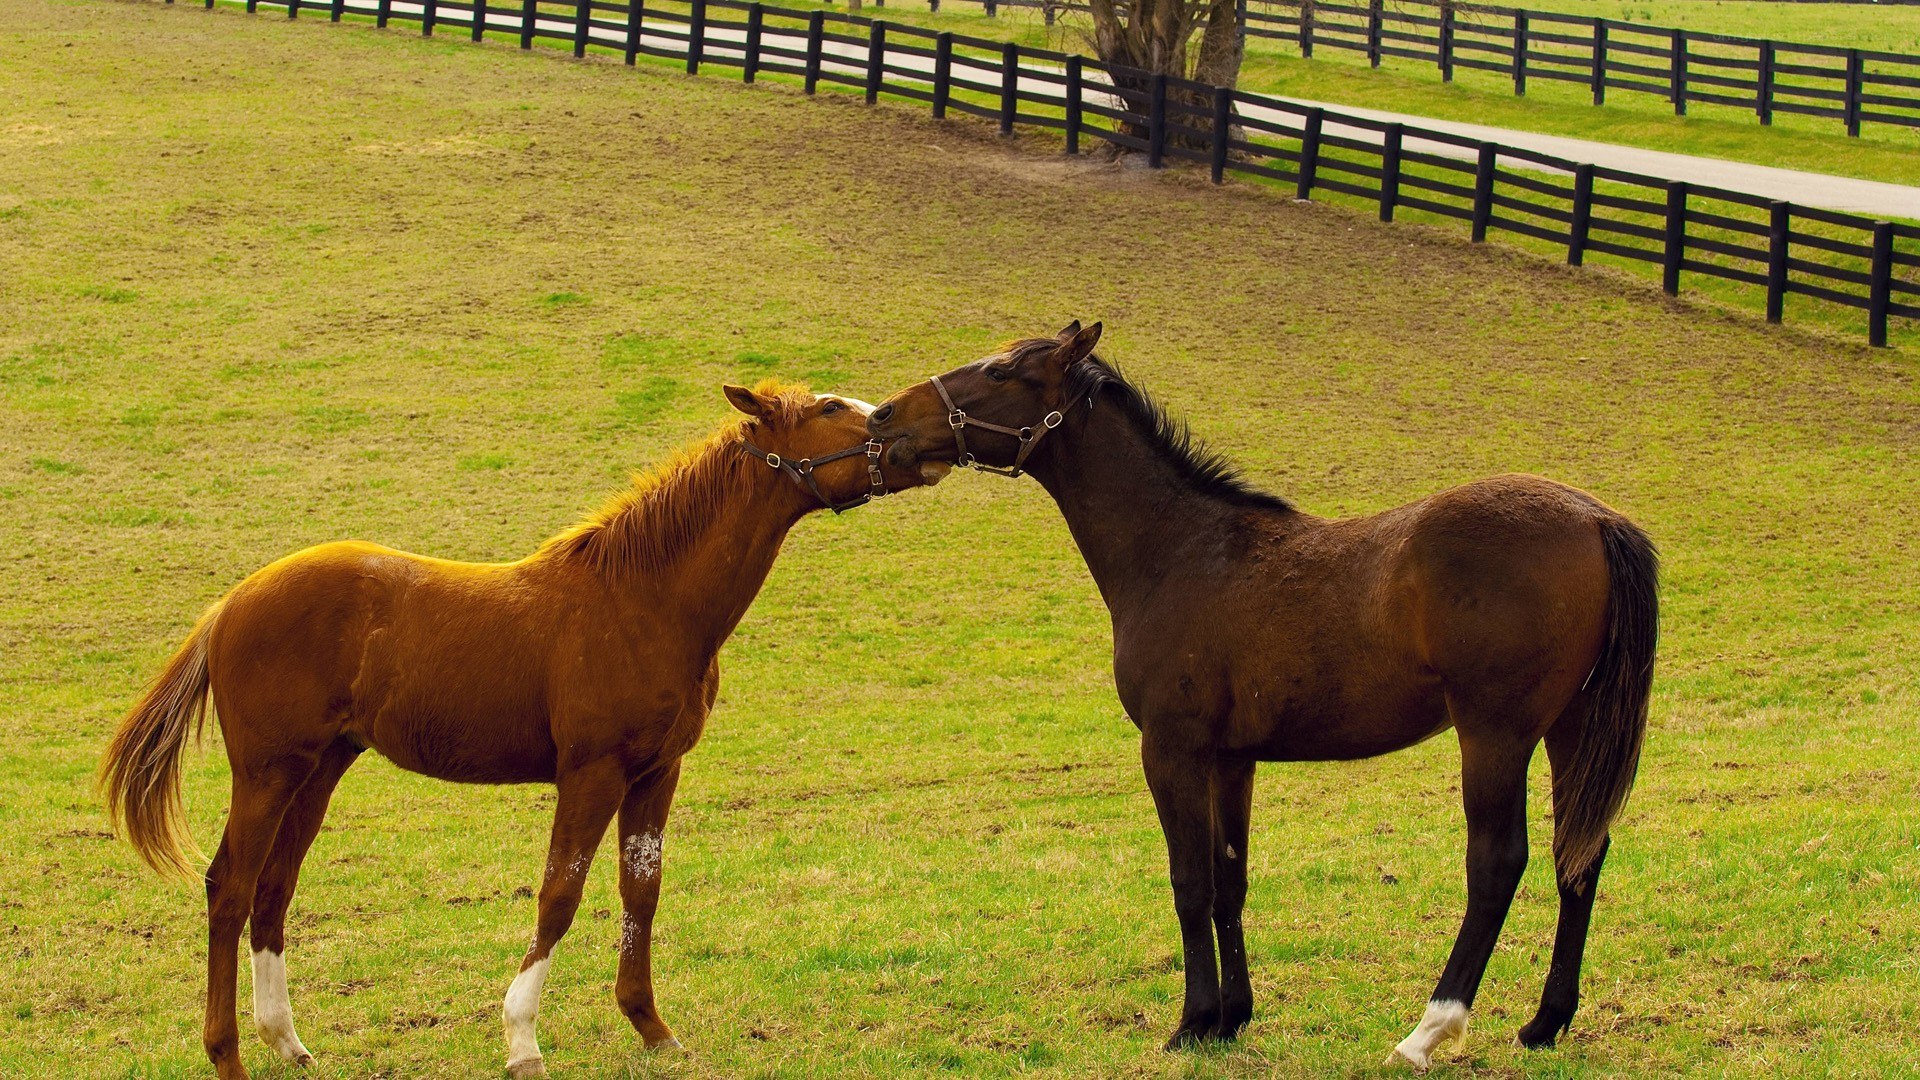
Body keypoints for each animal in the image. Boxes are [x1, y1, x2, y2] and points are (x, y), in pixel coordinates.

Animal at [101, 381, 948, 1080]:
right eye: (832, 408)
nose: (922, 437)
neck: (642, 599)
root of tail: (231, 604)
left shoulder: (657, 772)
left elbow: (641, 891)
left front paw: (653, 1029)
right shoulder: (592, 772)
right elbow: (560, 896)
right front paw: (522, 1041)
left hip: (320, 769)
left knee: (274, 890)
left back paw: (288, 1043)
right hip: (268, 772)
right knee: (230, 888)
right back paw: (229, 1056)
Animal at [866, 324, 1657, 1071]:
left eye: (1002, 371)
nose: (882, 417)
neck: (1179, 549)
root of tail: (1596, 519)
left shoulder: (1173, 750)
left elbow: (1189, 881)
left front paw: (1191, 1022)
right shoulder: (1231, 759)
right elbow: (1229, 881)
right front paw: (1231, 1016)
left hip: (1495, 736)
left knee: (1497, 863)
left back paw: (1427, 1031)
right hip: (1570, 729)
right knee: (1578, 853)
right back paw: (1545, 1023)